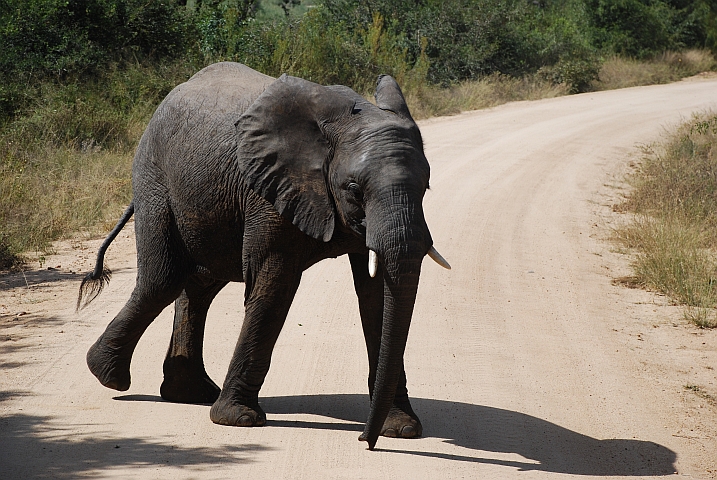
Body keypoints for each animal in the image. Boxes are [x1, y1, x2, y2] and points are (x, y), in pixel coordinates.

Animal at [77, 62, 450, 450]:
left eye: (425, 187)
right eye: (354, 190)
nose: (365, 439)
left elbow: (376, 299)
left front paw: (403, 429)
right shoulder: (269, 192)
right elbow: (274, 286)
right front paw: (239, 420)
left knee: (198, 284)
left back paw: (189, 393)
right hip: (154, 178)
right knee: (162, 280)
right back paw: (109, 376)